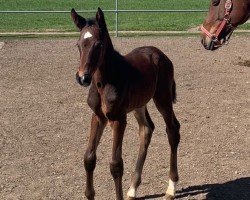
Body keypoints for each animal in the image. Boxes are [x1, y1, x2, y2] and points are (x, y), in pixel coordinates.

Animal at [71, 7, 181, 200]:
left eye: (99, 45)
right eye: (78, 44)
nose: (83, 77)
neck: (104, 82)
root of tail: (159, 53)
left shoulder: (118, 119)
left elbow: (116, 164)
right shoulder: (98, 116)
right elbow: (89, 158)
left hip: (163, 98)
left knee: (173, 130)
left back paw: (171, 188)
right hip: (139, 104)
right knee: (146, 129)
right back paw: (133, 189)